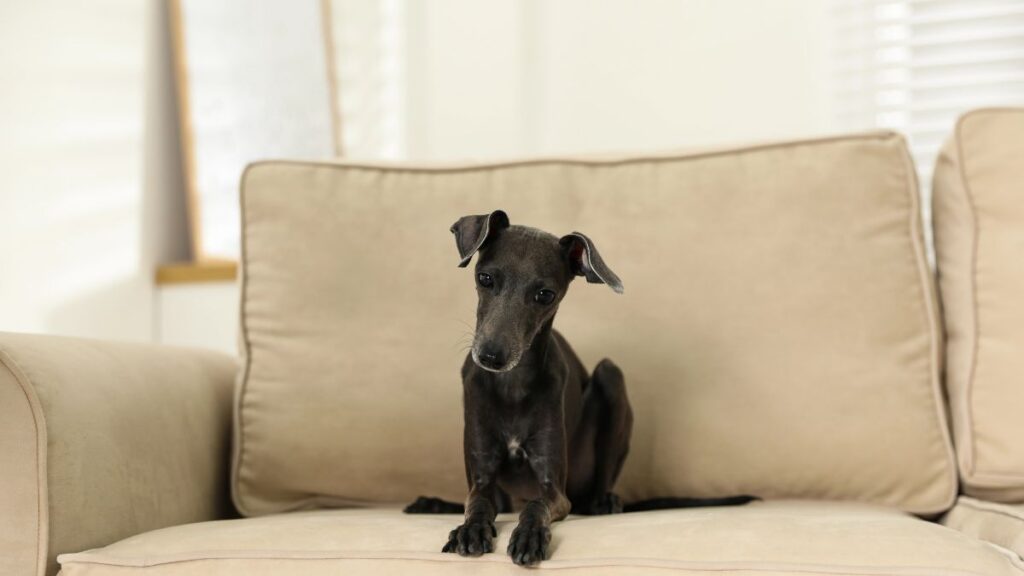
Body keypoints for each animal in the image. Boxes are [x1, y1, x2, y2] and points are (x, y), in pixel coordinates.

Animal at [405, 208, 753, 561]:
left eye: (545, 295)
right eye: (485, 278)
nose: (490, 357)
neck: (512, 383)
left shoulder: (555, 489)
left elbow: (536, 504)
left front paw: (529, 536)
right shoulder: (481, 475)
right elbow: (476, 502)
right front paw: (471, 529)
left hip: (611, 378)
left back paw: (605, 502)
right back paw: (431, 503)